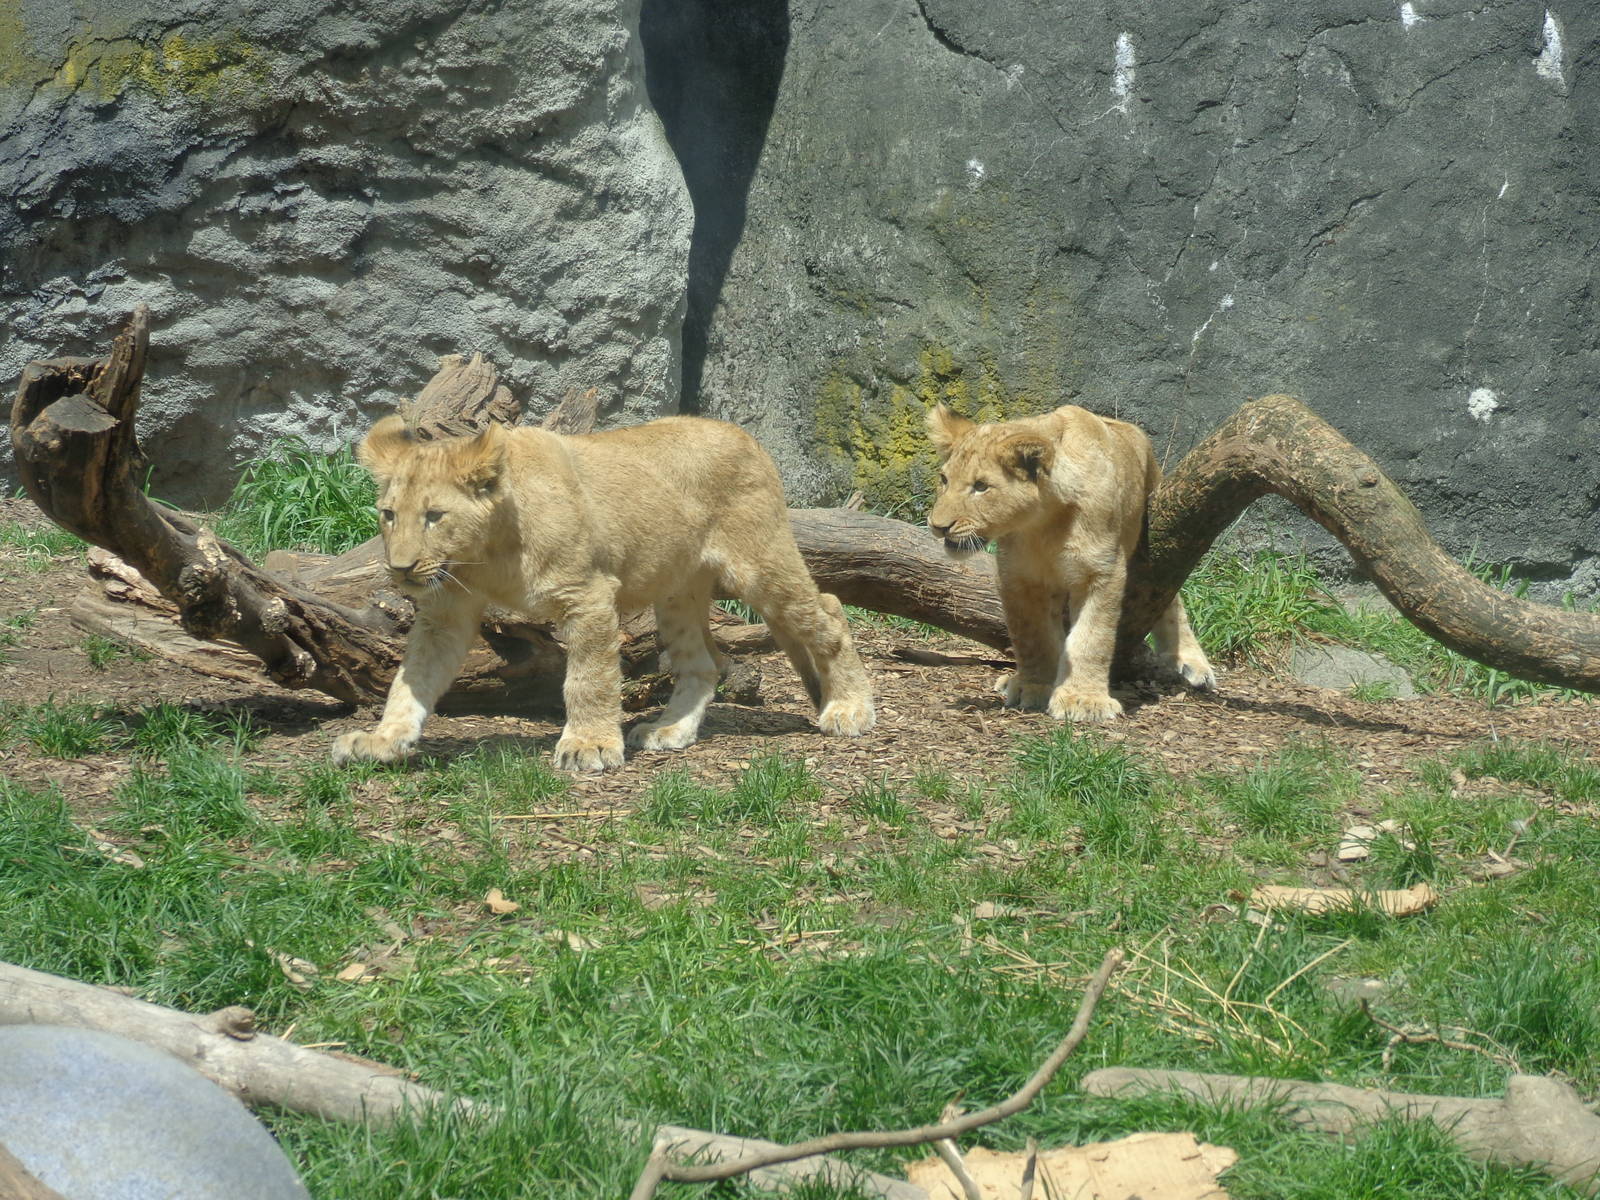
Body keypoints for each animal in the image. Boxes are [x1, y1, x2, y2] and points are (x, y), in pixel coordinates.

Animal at [331, 414, 876, 771]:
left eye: (434, 516)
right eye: (388, 514)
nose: (400, 569)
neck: (486, 555)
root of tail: (747, 436)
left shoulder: (589, 595)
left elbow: (587, 680)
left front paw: (588, 746)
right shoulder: (445, 610)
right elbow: (411, 681)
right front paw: (382, 739)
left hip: (758, 563)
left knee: (828, 612)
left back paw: (849, 709)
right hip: (677, 592)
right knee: (703, 665)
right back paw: (669, 731)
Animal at [925, 403, 1215, 722]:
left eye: (981, 486)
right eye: (944, 480)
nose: (938, 526)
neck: (1043, 524)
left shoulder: (1100, 571)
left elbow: (1091, 638)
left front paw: (1084, 700)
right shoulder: (1019, 576)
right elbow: (1032, 636)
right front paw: (1034, 686)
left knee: (1170, 596)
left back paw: (1190, 660)